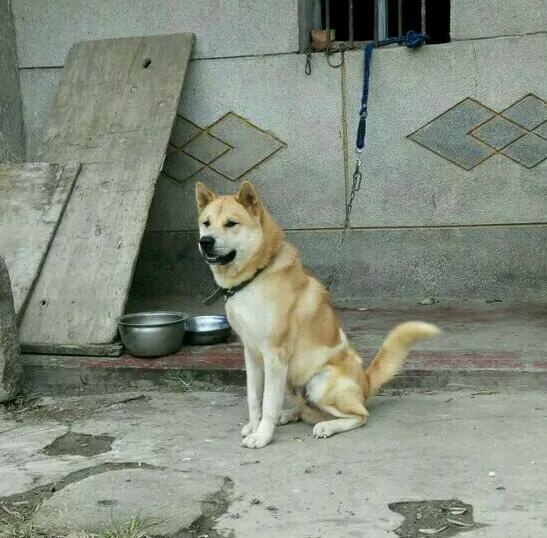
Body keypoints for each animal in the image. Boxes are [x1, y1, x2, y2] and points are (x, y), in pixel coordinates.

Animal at [195, 181, 438, 448]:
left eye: (231, 223)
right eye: (206, 222)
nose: (205, 241)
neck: (255, 275)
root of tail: (365, 381)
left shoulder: (274, 355)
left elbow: (268, 402)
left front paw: (262, 435)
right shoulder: (251, 353)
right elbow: (253, 397)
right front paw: (253, 425)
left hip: (319, 382)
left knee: (359, 415)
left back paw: (326, 426)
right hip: (293, 383)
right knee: (306, 410)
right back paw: (289, 414)